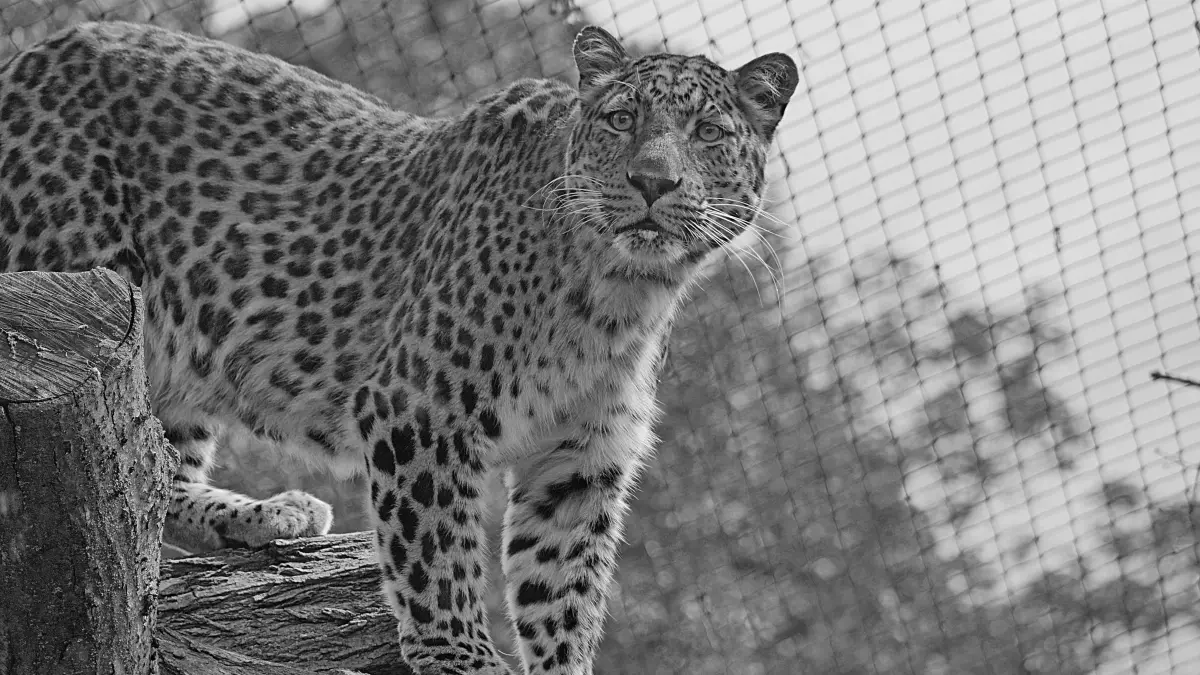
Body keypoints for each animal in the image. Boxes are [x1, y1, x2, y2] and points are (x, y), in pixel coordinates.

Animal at [0, 20, 797, 674]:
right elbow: (436, 552)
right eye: (621, 119)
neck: (624, 292)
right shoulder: (422, 408)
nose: (652, 181)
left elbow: (561, 590)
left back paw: (270, 514)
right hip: (83, 270)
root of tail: (31, 55)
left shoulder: (580, 459)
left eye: (708, 133)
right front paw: (461, 656)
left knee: (157, 473)